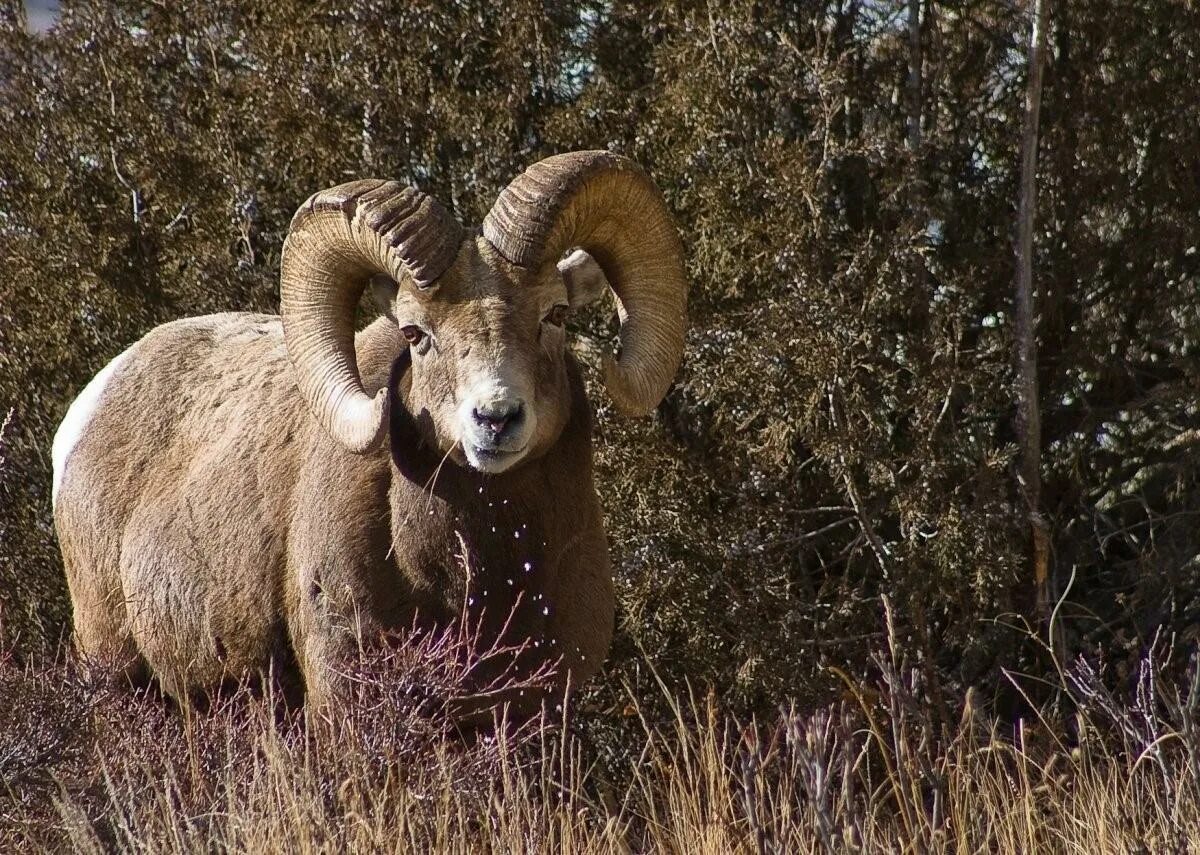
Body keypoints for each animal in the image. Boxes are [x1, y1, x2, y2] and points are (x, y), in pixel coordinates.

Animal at [51, 153, 691, 706]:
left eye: (555, 315)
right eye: (415, 333)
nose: (496, 418)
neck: (481, 576)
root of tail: (83, 418)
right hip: (116, 669)